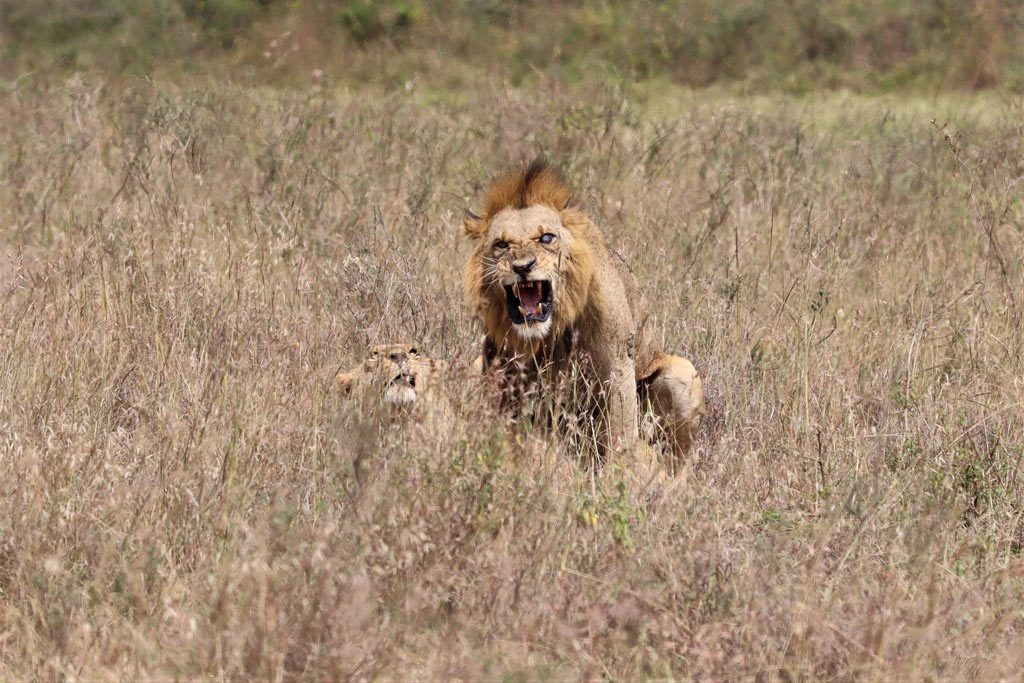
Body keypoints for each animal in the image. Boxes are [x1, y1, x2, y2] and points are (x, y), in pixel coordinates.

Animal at [464, 160, 704, 471]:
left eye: (546, 238)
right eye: (502, 245)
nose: (522, 266)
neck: (552, 328)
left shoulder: (617, 367)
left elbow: (620, 436)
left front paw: (619, 478)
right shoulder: (502, 370)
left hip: (681, 372)